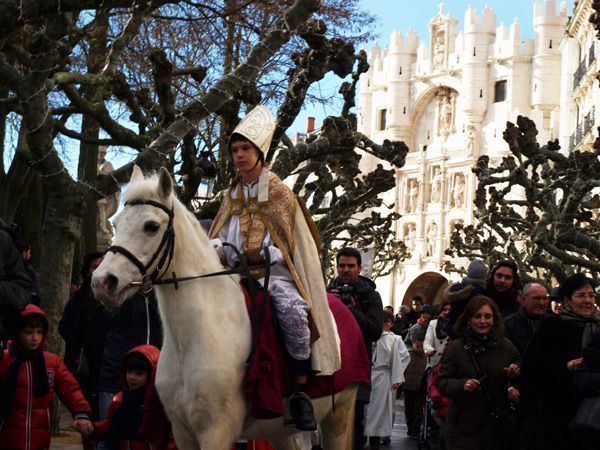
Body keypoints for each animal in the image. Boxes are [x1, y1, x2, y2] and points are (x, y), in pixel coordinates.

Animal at [91, 168, 358, 450]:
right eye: (116, 223)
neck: (193, 338)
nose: (102, 282)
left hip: (338, 415)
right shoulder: (182, 431)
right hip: (279, 430)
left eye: (151, 226)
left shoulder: (215, 431)